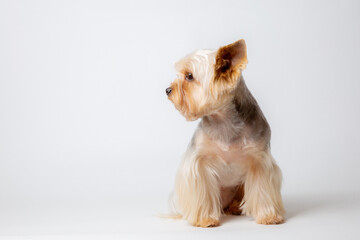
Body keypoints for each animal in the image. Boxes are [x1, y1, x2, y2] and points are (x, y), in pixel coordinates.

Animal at [165, 39, 284, 227]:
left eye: (189, 76)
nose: (168, 90)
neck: (224, 120)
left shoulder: (260, 161)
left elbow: (262, 190)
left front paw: (268, 216)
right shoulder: (198, 162)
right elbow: (203, 192)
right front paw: (205, 219)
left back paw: (235, 207)